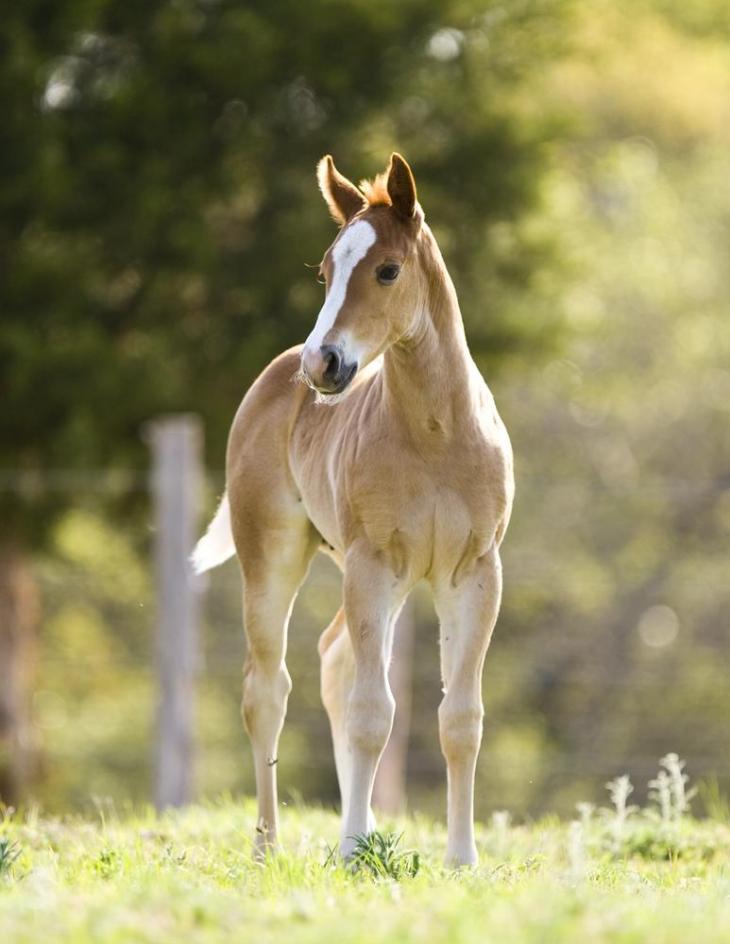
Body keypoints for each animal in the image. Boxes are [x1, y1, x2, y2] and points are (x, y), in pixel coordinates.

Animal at [192, 153, 514, 867]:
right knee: (269, 689)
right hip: (278, 558)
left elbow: (461, 718)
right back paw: (271, 846)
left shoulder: (475, 573)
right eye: (324, 271)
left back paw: (358, 830)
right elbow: (374, 713)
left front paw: (462, 859)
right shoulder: (373, 563)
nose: (324, 363)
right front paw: (349, 857)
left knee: (335, 659)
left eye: (387, 269)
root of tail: (274, 374)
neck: (436, 435)